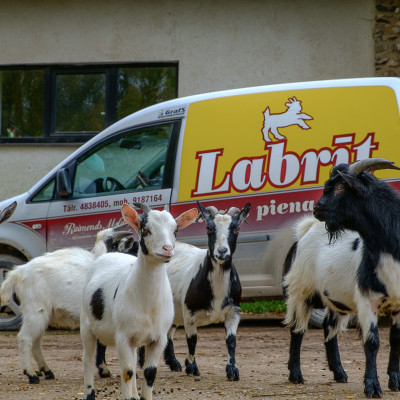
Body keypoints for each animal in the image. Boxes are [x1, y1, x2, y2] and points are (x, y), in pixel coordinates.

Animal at [79, 203, 197, 400]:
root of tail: (105, 255)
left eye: (175, 230)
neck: (147, 304)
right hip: (87, 326)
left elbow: (149, 372)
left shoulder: (158, 338)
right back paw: (89, 393)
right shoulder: (123, 337)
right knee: (87, 360)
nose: (167, 249)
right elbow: (127, 372)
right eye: (146, 230)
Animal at [284, 158, 400, 398]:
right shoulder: (367, 298)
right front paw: (372, 387)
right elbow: (372, 342)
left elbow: (395, 340)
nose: (317, 208)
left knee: (329, 327)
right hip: (302, 290)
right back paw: (296, 375)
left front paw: (395, 381)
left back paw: (339, 373)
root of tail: (306, 230)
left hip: (335, 297)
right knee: (297, 329)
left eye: (339, 187)